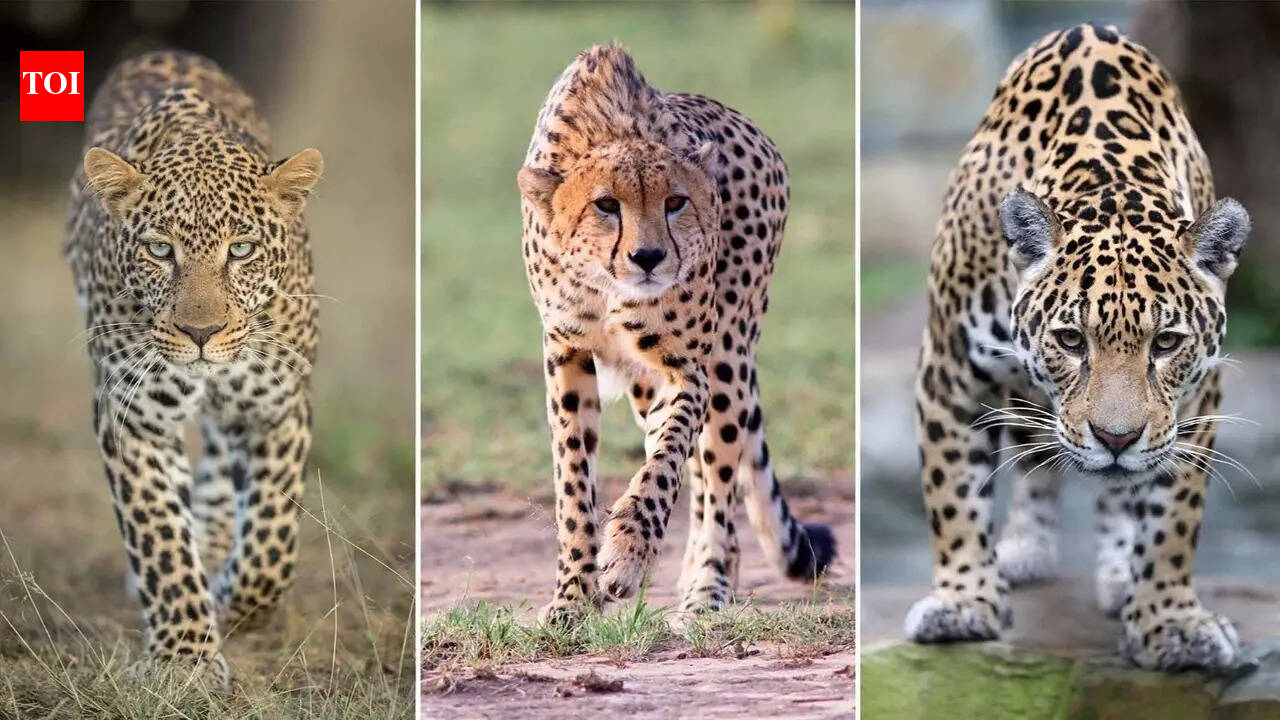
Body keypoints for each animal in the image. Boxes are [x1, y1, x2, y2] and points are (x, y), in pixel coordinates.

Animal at [65, 50, 324, 688]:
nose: (201, 334)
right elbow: (158, 533)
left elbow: (271, 544)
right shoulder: (132, 416)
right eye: (160, 250)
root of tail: (162, 51)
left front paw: (232, 598)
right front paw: (185, 659)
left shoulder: (277, 407)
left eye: (241, 250)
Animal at [516, 44, 836, 623]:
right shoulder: (567, 353)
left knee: (716, 478)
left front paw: (626, 554)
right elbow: (573, 480)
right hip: (649, 385)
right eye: (605, 204)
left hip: (728, 361)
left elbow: (663, 466)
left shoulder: (687, 369)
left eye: (675, 202)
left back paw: (707, 587)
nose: (648, 257)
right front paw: (574, 596)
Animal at [903, 23, 1251, 672]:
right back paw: (1027, 548)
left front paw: (1170, 620)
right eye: (1071, 339)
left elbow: (1173, 515)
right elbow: (954, 493)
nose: (1116, 439)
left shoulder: (1197, 399)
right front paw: (963, 603)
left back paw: (1118, 571)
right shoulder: (947, 371)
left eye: (1166, 343)